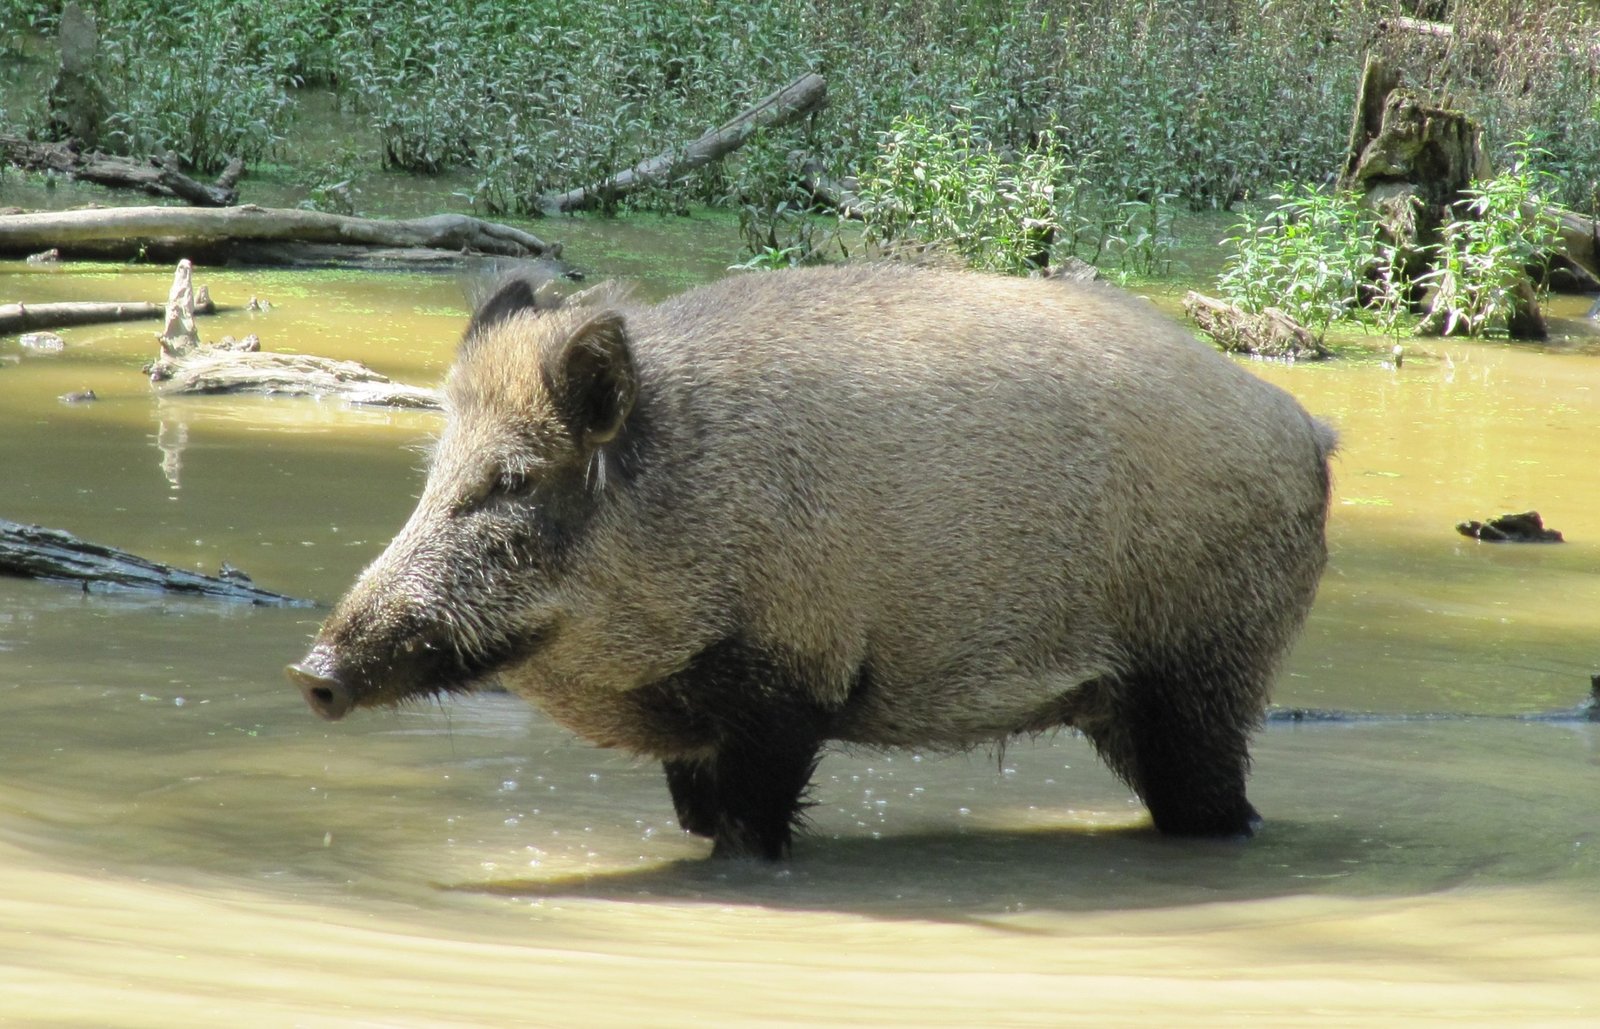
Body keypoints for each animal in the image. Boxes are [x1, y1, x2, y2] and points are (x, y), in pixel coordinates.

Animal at [288, 264, 1335, 860]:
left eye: (512, 479)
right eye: (437, 469)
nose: (312, 671)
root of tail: (1309, 433)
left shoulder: (788, 687)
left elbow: (757, 833)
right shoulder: (698, 734)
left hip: (1207, 669)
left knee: (1219, 804)